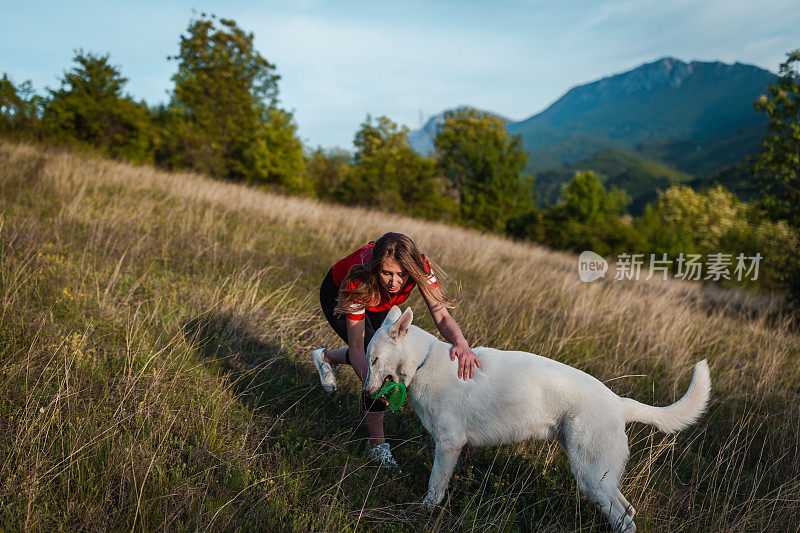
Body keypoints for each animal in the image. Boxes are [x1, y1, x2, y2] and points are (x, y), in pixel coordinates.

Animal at [366, 306, 708, 528]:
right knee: (629, 511)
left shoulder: (449, 445)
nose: (365, 396)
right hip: (596, 475)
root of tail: (618, 403)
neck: (423, 362)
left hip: (591, 476)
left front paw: (423, 512)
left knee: (626, 520)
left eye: (374, 360)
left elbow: (434, 488)